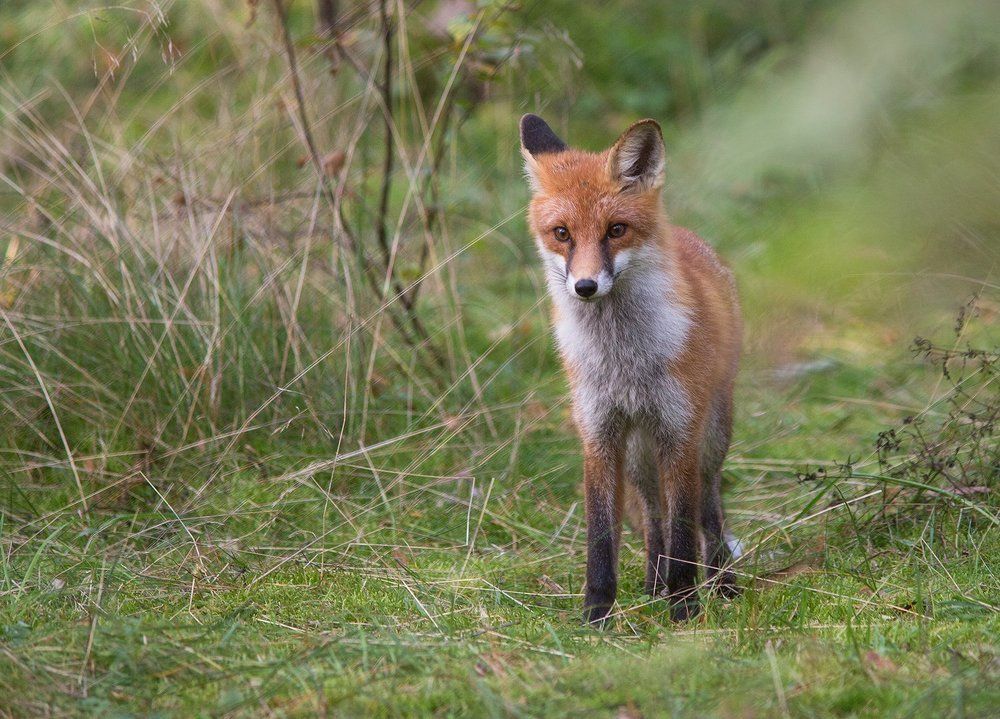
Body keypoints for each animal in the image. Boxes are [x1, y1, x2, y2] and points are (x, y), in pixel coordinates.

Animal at [519, 114, 742, 625]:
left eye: (615, 230)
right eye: (562, 233)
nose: (584, 286)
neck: (624, 360)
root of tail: (688, 236)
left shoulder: (680, 432)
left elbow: (685, 529)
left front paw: (685, 608)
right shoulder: (598, 432)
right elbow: (603, 533)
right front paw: (597, 613)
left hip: (709, 436)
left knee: (709, 509)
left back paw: (721, 582)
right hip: (640, 452)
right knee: (653, 515)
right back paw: (653, 584)